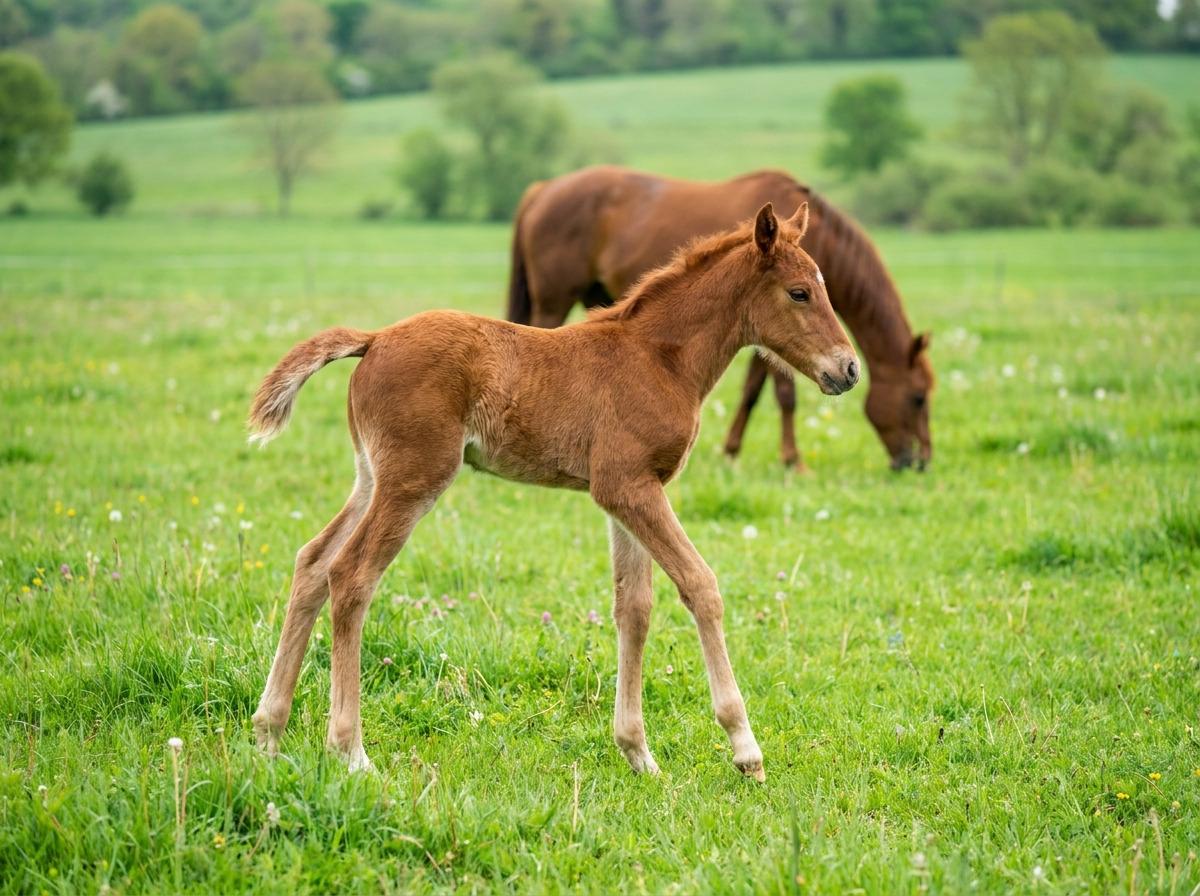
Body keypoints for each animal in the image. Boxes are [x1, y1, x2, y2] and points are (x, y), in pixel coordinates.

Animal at [248, 203, 858, 780]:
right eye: (800, 292)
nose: (849, 369)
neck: (660, 358)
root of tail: (373, 340)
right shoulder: (631, 488)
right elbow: (700, 586)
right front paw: (745, 749)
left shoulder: (627, 493)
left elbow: (634, 607)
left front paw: (638, 754)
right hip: (413, 480)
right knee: (351, 576)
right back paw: (350, 751)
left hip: (371, 477)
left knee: (312, 562)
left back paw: (270, 734)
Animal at [507, 165, 934, 471]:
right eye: (917, 398)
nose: (919, 463)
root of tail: (541, 190)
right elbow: (785, 396)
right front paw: (793, 461)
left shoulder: (768, 337)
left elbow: (752, 391)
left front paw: (730, 452)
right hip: (552, 301)